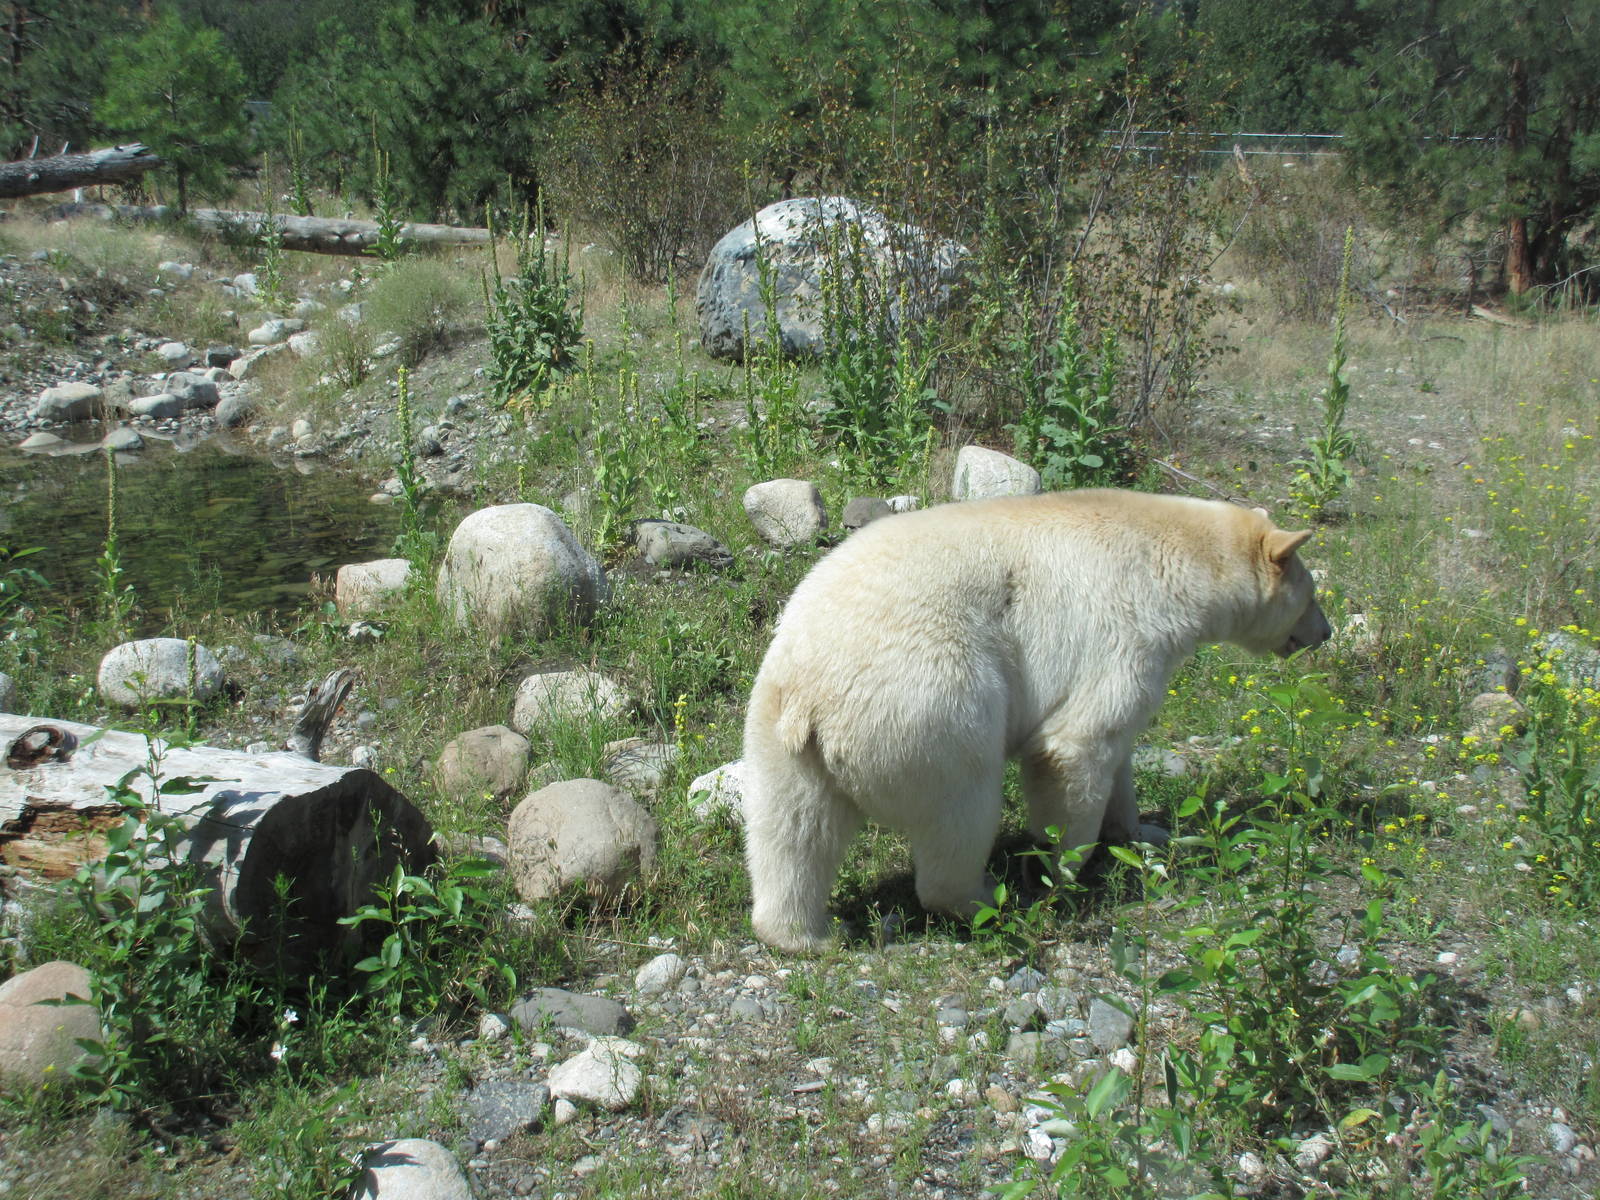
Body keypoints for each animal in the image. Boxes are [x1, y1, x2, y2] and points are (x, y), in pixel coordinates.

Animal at [741, 488, 1331, 953]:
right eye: (1313, 595)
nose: (1324, 634)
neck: (1173, 555)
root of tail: (811, 694)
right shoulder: (1127, 631)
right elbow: (1075, 746)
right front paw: (1063, 875)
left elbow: (1118, 756)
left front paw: (1143, 831)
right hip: (935, 705)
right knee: (961, 812)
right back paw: (986, 898)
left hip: (777, 735)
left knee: (790, 831)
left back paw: (808, 934)